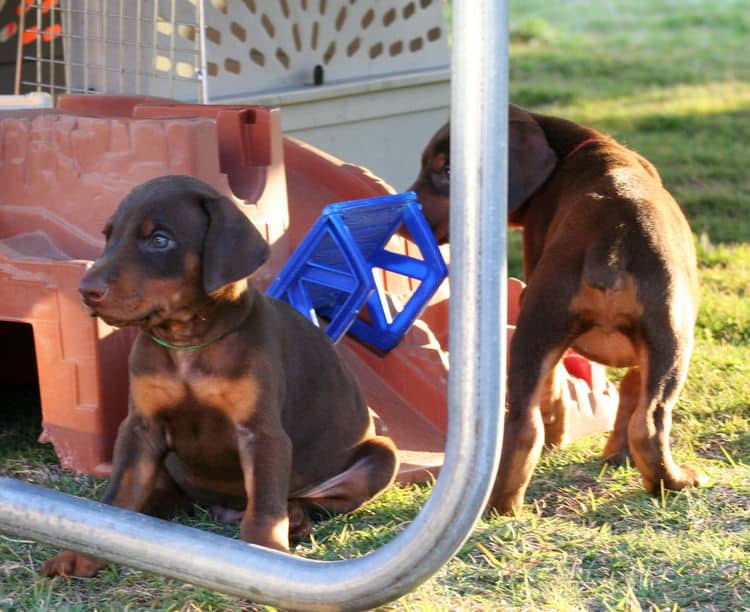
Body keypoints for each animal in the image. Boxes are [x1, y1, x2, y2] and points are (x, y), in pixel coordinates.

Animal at [41, 175, 400, 576]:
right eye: (109, 236)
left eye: (159, 240)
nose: (86, 290)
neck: (188, 341)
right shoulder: (140, 428)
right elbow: (118, 496)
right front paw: (84, 551)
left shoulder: (261, 433)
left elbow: (264, 506)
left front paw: (264, 553)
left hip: (382, 455)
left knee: (309, 500)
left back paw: (295, 517)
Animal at [414, 106, 708, 516]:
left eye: (447, 170)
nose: (407, 207)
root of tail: (612, 240)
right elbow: (623, 389)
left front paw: (616, 454)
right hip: (666, 336)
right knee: (641, 422)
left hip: (559, 326)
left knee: (534, 422)